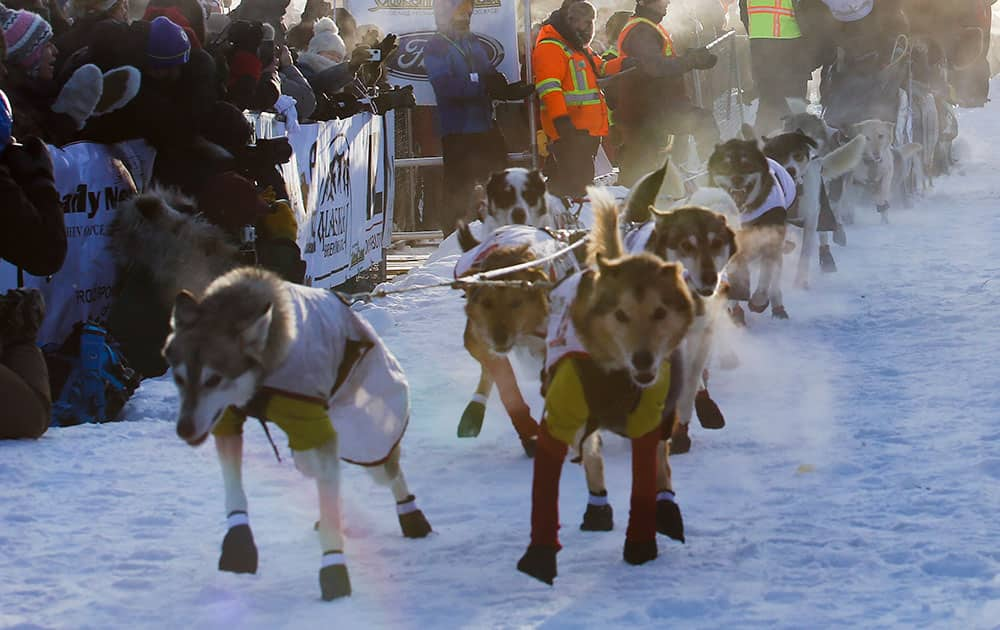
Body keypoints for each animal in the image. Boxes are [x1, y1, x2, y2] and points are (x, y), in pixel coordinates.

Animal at [163, 266, 430, 604]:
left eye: (214, 379)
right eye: (178, 378)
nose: (183, 428)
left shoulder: (310, 425)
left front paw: (334, 572)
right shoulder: (228, 423)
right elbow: (234, 491)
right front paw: (239, 545)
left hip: (366, 435)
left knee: (388, 471)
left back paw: (411, 515)